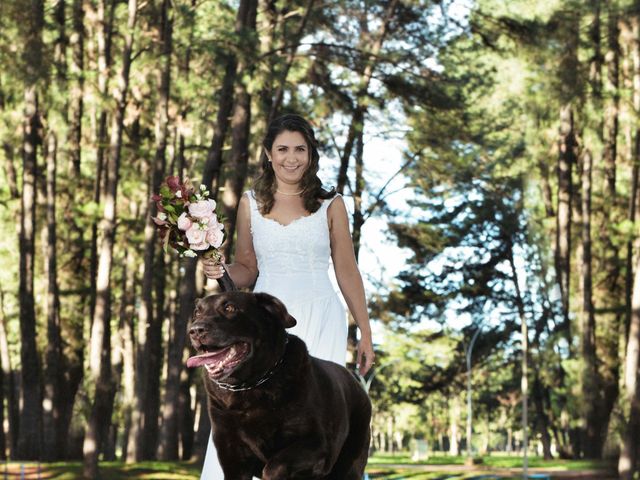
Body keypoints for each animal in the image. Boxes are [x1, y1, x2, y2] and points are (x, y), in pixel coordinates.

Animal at [188, 290, 372, 480]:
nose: (195, 330)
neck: (250, 386)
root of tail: (357, 382)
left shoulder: (318, 444)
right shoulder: (231, 456)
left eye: (230, 308)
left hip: (349, 463)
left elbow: (274, 466)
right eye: (197, 312)